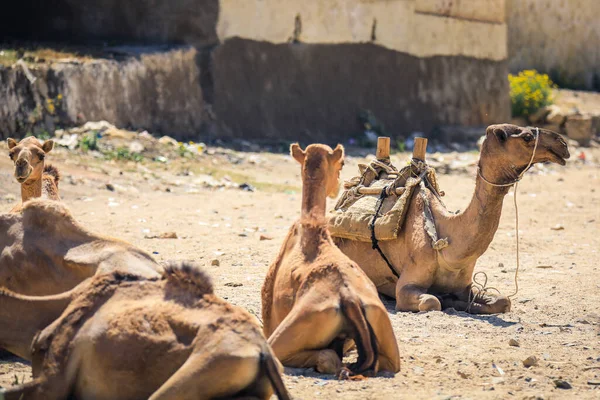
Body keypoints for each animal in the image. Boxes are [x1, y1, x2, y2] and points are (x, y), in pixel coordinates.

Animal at [262, 143, 398, 376]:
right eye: (341, 163)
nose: (338, 186)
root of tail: (349, 299)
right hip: (384, 331)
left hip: (289, 330)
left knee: (325, 357)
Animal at [330, 126, 568, 314]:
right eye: (527, 137)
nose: (563, 144)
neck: (446, 241)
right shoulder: (406, 286)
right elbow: (431, 301)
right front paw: (445, 300)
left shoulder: (465, 285)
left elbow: (503, 301)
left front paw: (462, 302)